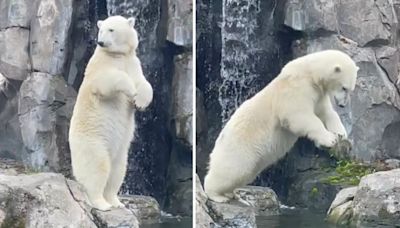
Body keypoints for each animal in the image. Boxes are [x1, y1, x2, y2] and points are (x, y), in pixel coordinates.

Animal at [68, 15, 152, 210]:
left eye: (111, 29)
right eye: (101, 29)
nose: (101, 42)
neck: (117, 55)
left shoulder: (133, 63)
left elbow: (144, 83)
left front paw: (139, 102)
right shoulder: (99, 66)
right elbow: (107, 80)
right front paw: (130, 89)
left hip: (120, 151)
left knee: (118, 170)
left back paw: (116, 202)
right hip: (92, 142)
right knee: (97, 168)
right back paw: (102, 203)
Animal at [205, 50, 358, 203]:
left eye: (351, 89)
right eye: (344, 87)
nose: (342, 105)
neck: (310, 73)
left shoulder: (318, 94)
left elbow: (326, 113)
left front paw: (341, 133)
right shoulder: (296, 89)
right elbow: (300, 116)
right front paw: (330, 139)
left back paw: (229, 193)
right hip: (239, 148)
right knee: (232, 170)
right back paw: (217, 195)